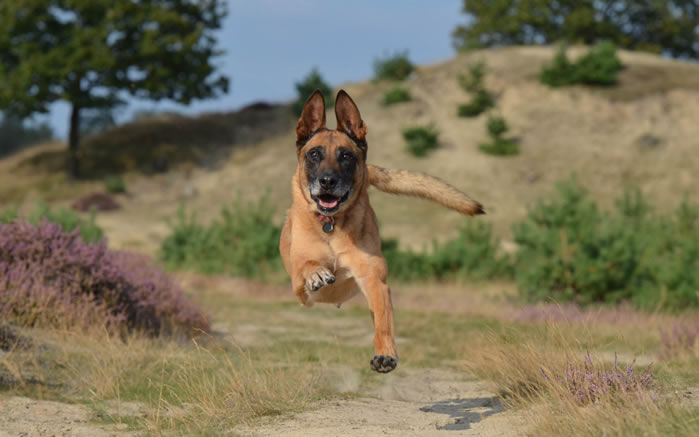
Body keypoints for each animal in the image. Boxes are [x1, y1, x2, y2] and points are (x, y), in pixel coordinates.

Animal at [278, 90, 482, 372]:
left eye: (346, 156)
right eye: (314, 154)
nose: (327, 181)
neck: (331, 225)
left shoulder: (374, 281)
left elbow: (383, 324)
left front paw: (386, 354)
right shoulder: (300, 287)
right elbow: (307, 266)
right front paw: (317, 273)